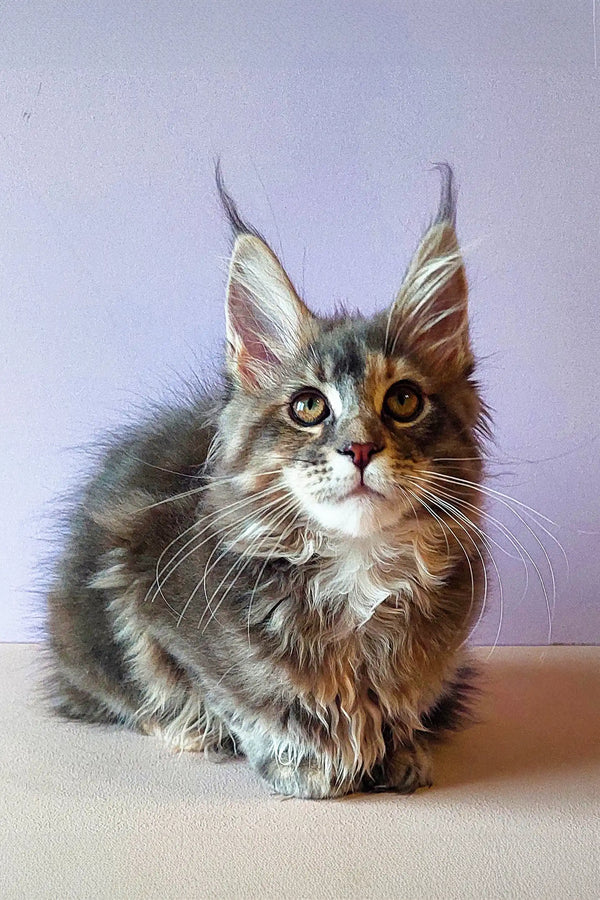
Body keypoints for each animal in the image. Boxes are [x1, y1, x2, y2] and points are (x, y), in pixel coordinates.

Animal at [45, 165, 488, 800]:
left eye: (404, 401)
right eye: (308, 406)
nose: (360, 448)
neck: (356, 572)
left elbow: (405, 703)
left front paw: (398, 748)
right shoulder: (149, 601)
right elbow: (238, 697)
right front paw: (306, 759)